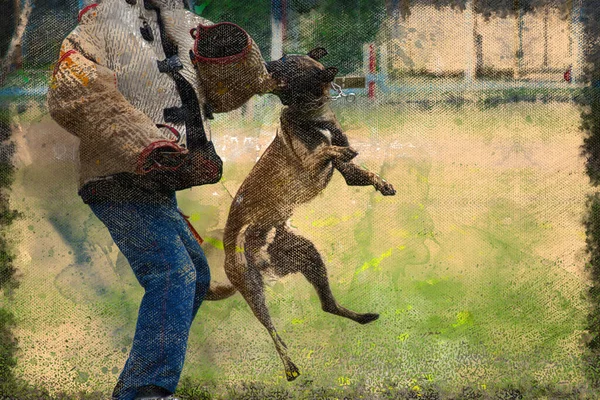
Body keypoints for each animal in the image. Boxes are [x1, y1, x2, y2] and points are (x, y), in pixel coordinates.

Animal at [204, 48, 396, 380]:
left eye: (289, 65)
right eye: (279, 60)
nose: (266, 64)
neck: (313, 114)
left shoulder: (348, 174)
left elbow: (362, 171)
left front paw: (382, 183)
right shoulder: (309, 162)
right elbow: (326, 150)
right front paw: (341, 151)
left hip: (308, 255)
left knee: (327, 305)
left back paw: (362, 317)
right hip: (252, 286)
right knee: (272, 331)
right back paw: (290, 367)